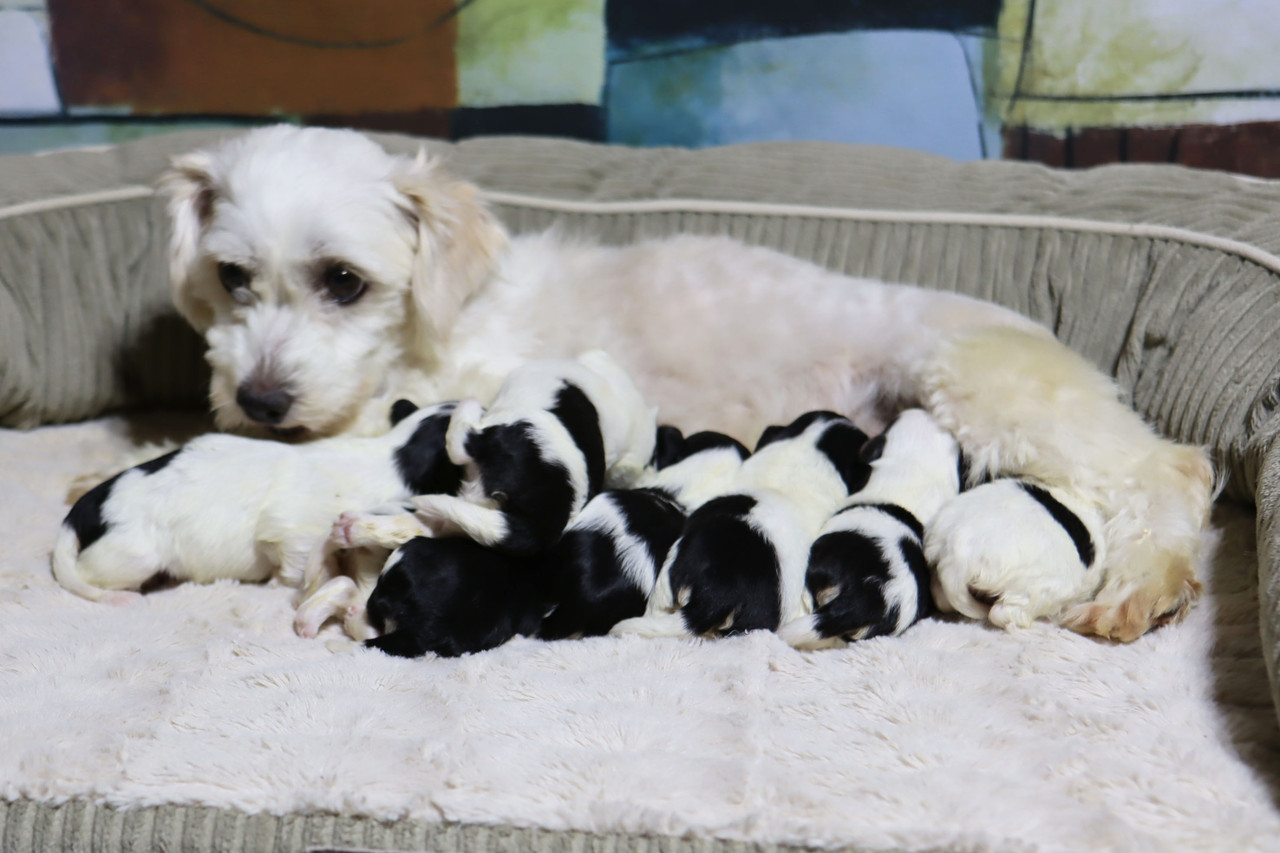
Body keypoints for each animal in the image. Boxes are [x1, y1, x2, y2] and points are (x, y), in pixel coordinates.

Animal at [51, 399, 460, 604]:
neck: (396, 452)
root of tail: (87, 505)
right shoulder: (295, 530)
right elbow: (296, 567)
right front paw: (290, 583)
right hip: (133, 557)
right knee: (91, 574)